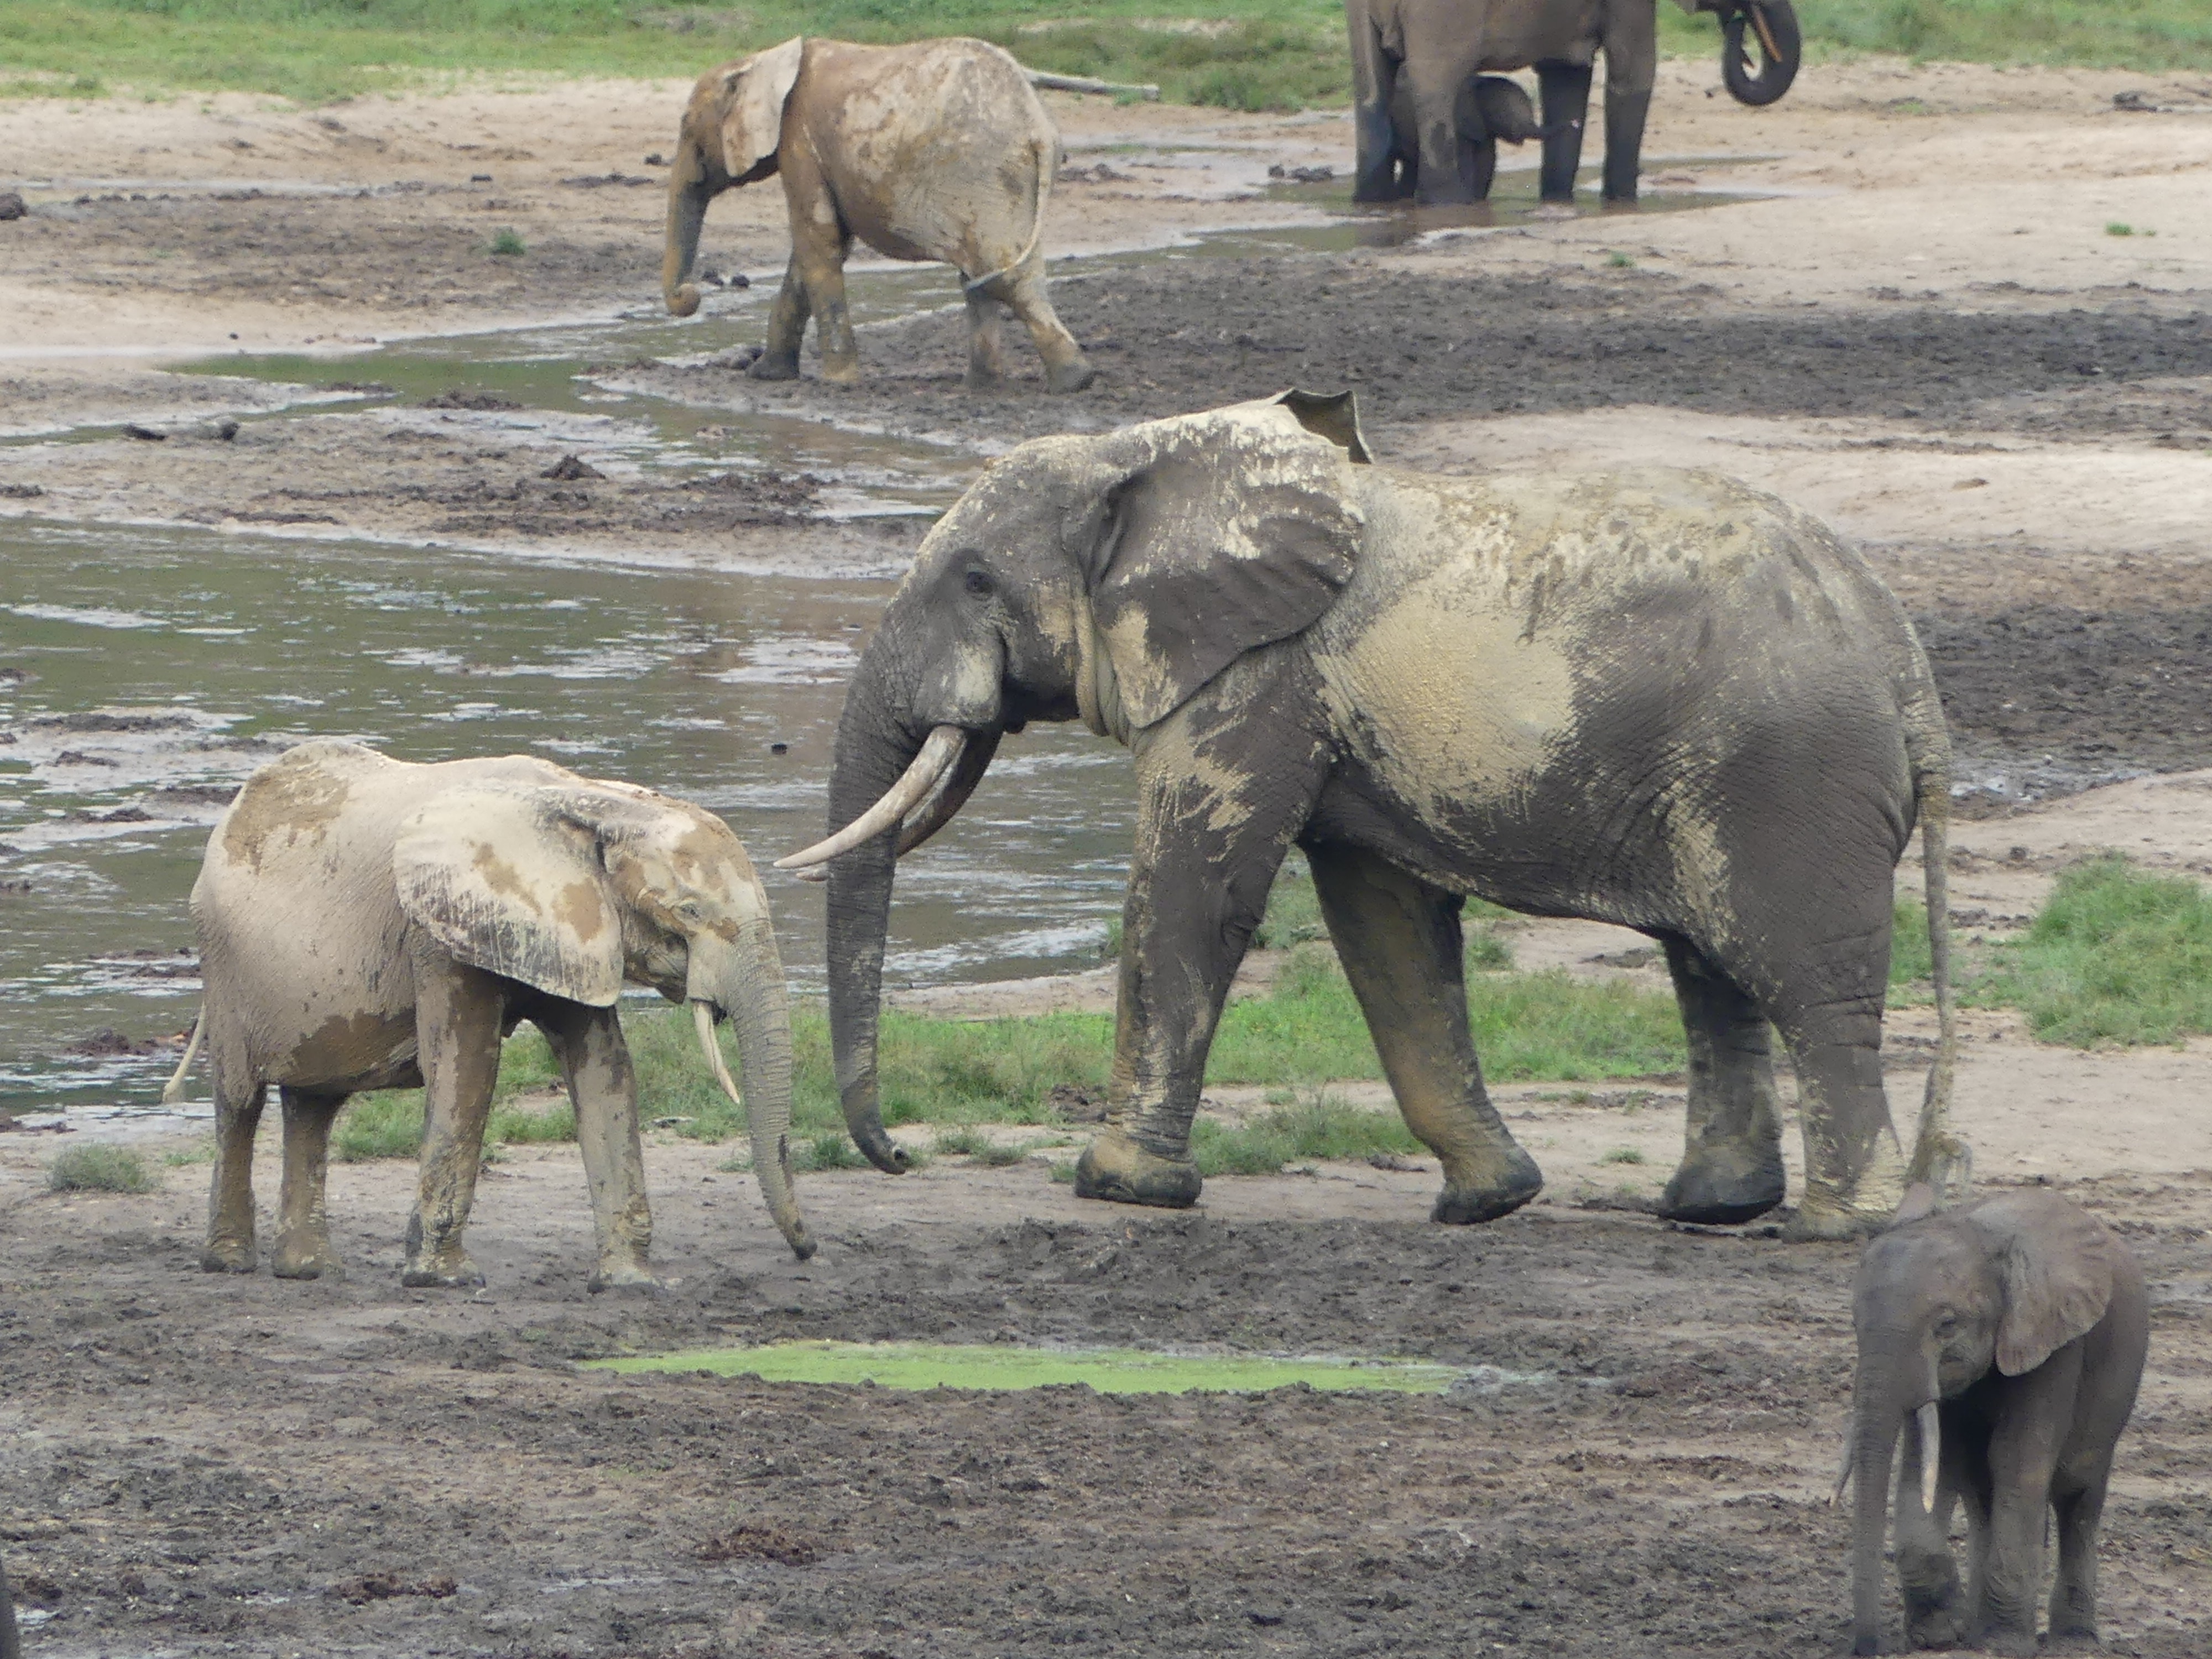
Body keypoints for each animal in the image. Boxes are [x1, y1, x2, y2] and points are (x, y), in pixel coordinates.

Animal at [164, 740, 812, 1290]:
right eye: (689, 911)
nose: (806, 1251)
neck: (592, 802)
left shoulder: (568, 928)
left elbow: (604, 1070)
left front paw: (631, 1285)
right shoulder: (438, 930)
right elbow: (467, 1067)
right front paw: (445, 1281)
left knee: (313, 1105)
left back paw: (310, 1271)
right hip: (224, 964)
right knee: (240, 1101)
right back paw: (229, 1263)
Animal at [662, 36, 1095, 394]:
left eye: (686, 126)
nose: (691, 294)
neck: (760, 61)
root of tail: (1038, 126)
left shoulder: (798, 139)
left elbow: (817, 242)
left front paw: (837, 384)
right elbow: (822, 246)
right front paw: (765, 375)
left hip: (985, 174)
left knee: (1001, 275)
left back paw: (1072, 382)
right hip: (1007, 183)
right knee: (988, 274)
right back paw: (991, 385)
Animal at [781, 390, 1966, 1241]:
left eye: (976, 581)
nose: (896, 1159)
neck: (1142, 453)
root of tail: (1905, 661)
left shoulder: (1258, 675)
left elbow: (1196, 891)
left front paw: (1116, 1187)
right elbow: (1386, 925)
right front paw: (1488, 1201)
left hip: (1788, 775)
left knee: (1802, 979)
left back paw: (1836, 1227)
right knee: (1709, 970)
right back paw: (1712, 1210)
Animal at [1349, 0, 1658, 204]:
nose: (1574, 123)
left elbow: (1565, 73)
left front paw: (1557, 200)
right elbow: (1632, 71)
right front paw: (1623, 202)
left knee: (1372, 91)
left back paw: (1373, 201)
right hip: (1442, 13)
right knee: (1437, 89)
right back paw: (1448, 203)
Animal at [1840, 1188, 2149, 1656]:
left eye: (1947, 1325)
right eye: (1855, 1323)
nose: (1870, 1648)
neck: (1977, 1234)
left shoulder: (2054, 1340)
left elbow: (2015, 1462)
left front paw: (2004, 1643)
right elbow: (1935, 1463)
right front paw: (1939, 1634)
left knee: (2077, 1495)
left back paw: (2072, 1640)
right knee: (1981, 1493)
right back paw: (1974, 1629)